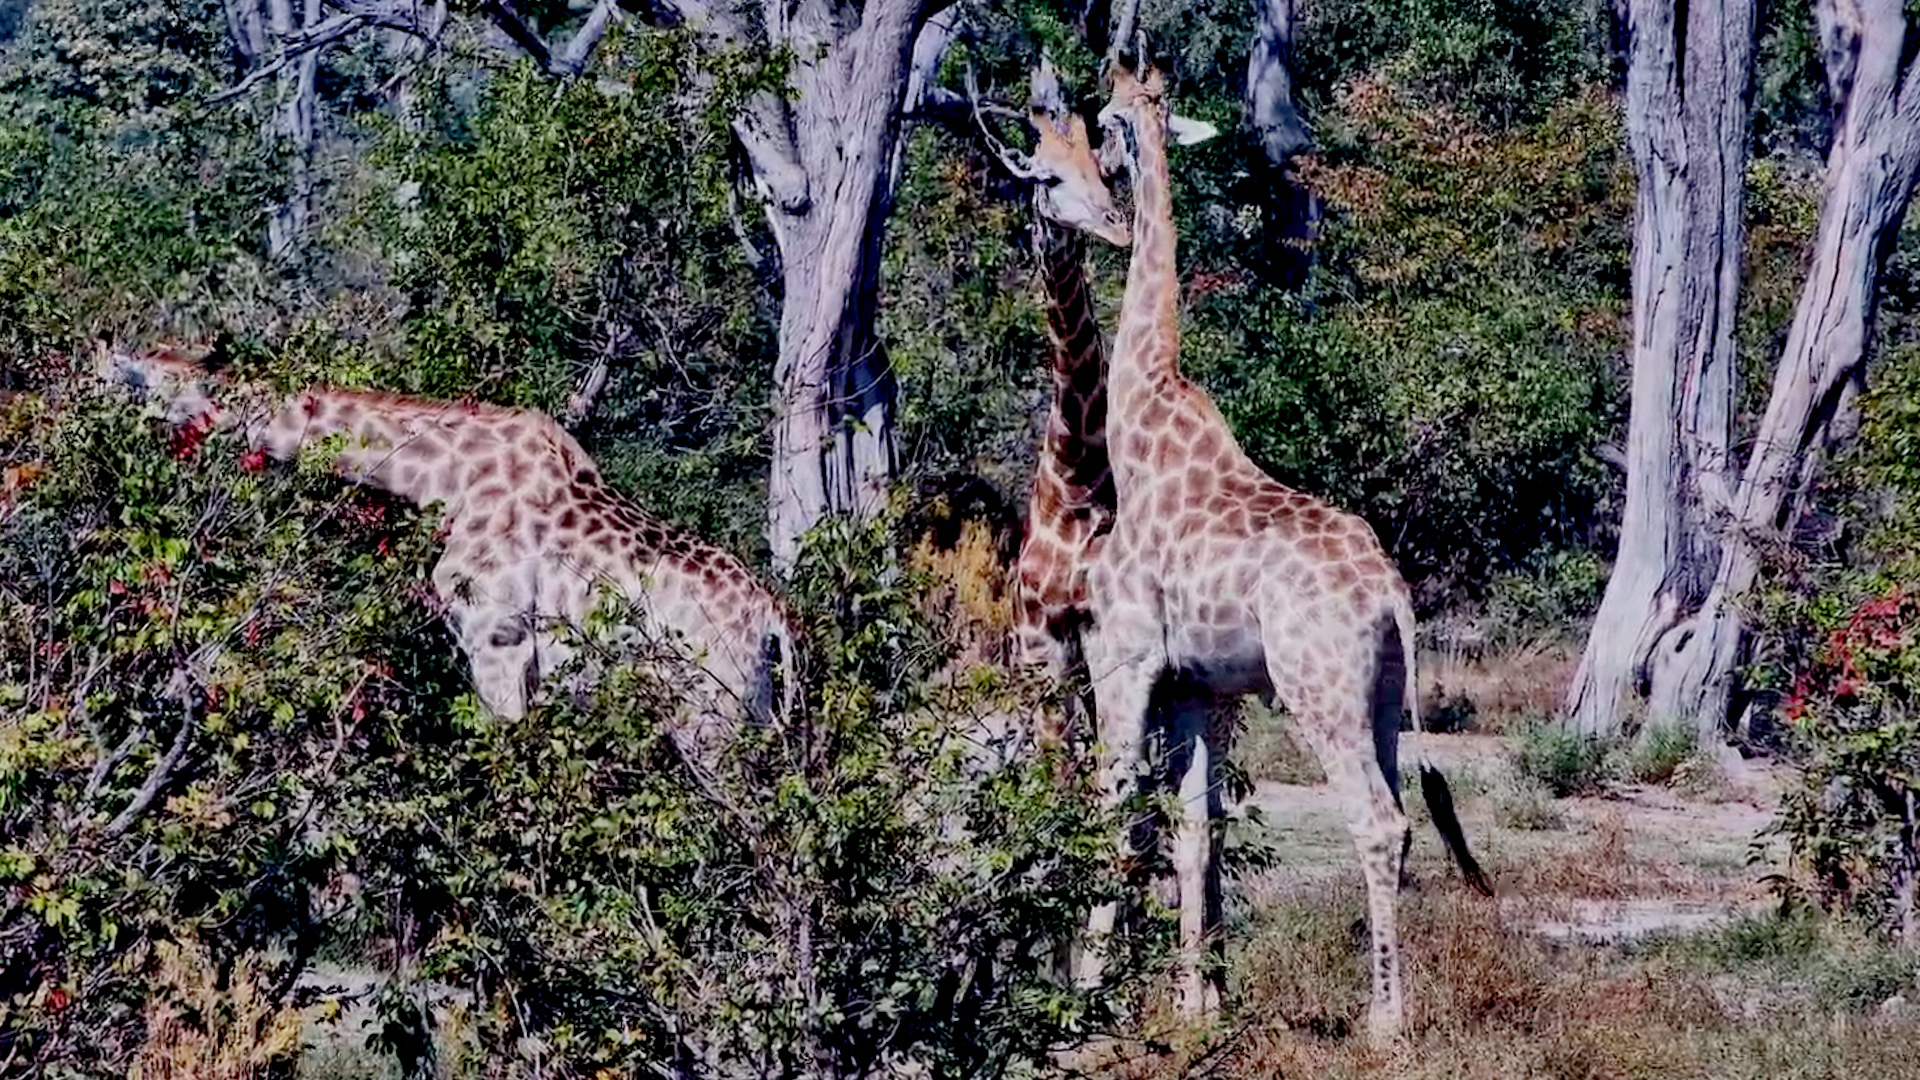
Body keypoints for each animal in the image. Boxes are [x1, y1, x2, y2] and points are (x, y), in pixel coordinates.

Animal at [97, 343, 796, 767]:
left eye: (111, 382)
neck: (450, 481)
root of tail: (773, 622)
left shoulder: (497, 640)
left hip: (710, 718)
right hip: (756, 712)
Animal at [1076, 50, 1491, 1038]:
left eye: (1104, 119)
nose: (1106, 175)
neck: (1139, 432)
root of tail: (1390, 589)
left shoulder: (1125, 660)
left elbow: (1116, 814)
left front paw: (1082, 998)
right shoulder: (1201, 689)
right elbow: (1198, 830)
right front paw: (1199, 1005)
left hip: (1318, 687)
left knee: (1379, 822)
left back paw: (1386, 1020)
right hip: (1380, 695)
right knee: (1404, 815)